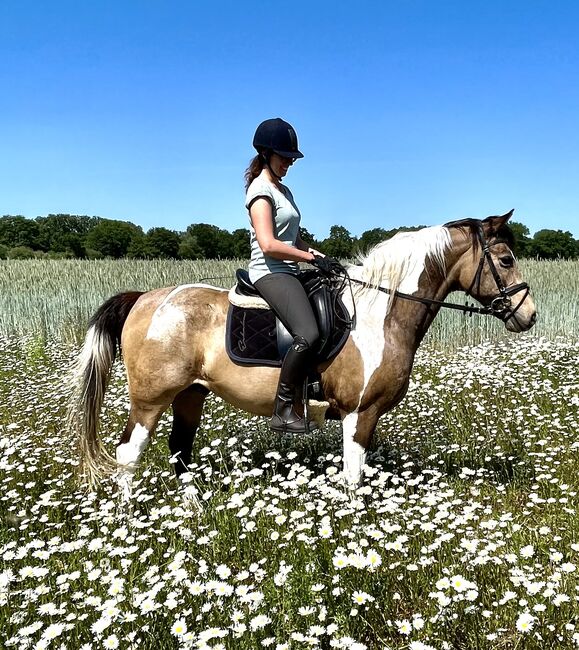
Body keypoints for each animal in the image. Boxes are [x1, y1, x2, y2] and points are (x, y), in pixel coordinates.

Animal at [69, 210, 540, 494]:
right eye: (506, 259)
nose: (529, 315)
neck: (380, 313)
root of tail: (144, 299)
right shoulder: (359, 413)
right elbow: (352, 479)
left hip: (190, 395)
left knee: (179, 451)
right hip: (151, 399)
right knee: (129, 454)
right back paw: (131, 520)